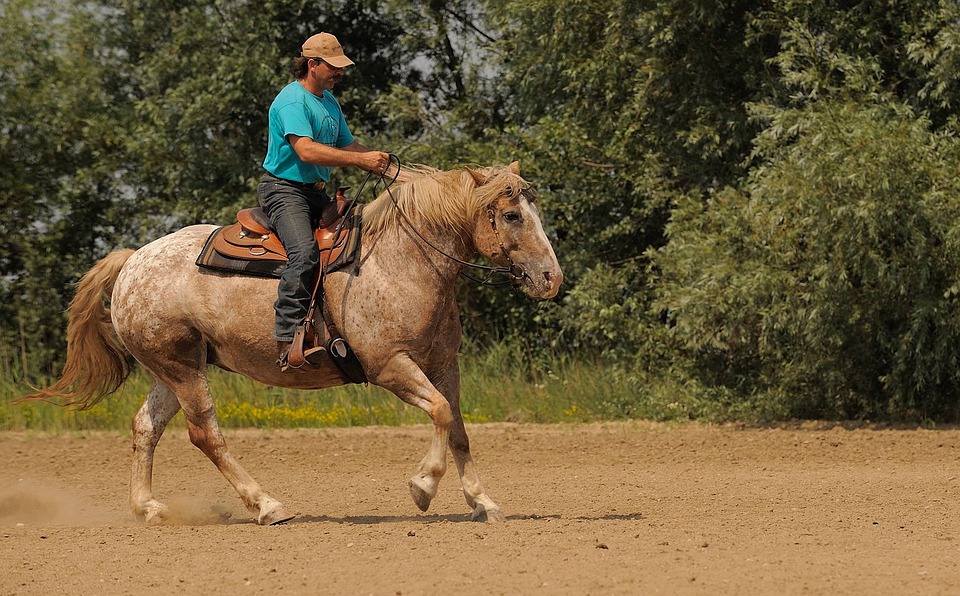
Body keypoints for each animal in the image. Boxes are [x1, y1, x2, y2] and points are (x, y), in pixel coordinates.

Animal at [26, 161, 564, 524]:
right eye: (512, 215)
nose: (551, 278)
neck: (401, 260)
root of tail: (133, 260)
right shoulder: (390, 365)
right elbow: (439, 412)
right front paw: (423, 486)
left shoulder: (443, 364)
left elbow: (458, 428)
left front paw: (483, 502)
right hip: (182, 369)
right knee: (206, 435)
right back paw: (267, 505)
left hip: (173, 369)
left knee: (145, 427)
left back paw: (149, 508)